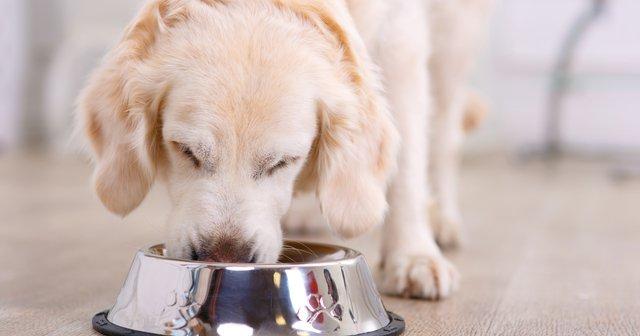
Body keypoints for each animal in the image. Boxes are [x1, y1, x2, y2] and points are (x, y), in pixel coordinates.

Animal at [79, 0, 490, 300]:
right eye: (185, 151)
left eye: (283, 162)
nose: (224, 259)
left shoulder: (400, 37)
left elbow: (407, 163)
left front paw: (414, 255)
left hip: (454, 40)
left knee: (444, 136)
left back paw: (442, 220)